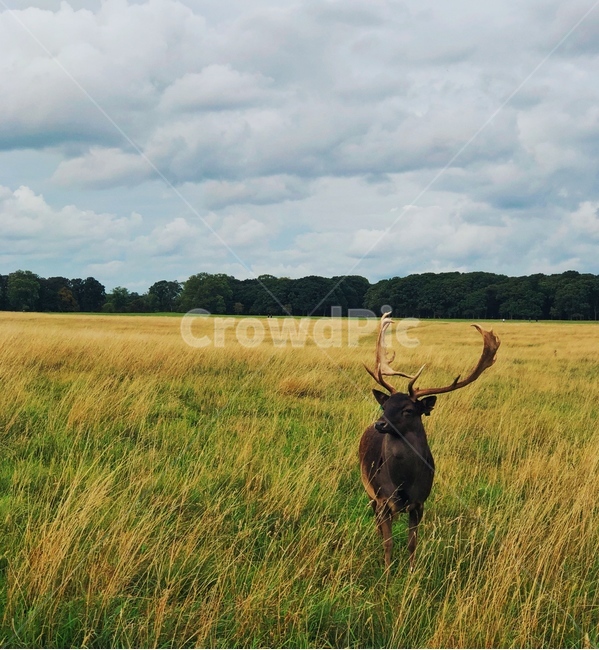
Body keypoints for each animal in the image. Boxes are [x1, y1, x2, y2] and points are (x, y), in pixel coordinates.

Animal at [359, 313, 500, 571]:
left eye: (408, 410)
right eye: (385, 405)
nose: (380, 424)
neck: (402, 481)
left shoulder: (420, 502)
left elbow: (412, 542)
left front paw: (411, 572)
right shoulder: (383, 498)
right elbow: (388, 543)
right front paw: (387, 573)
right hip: (369, 488)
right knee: (375, 520)